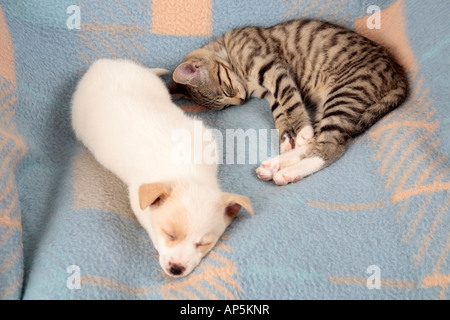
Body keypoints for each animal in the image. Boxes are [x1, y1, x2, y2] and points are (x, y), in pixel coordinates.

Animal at [71, 58, 253, 276]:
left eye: (203, 244)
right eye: (169, 235)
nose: (176, 269)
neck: (186, 171)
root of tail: (99, 64)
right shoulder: (138, 195)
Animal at [169, 19, 408, 185]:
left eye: (227, 91)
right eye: (226, 105)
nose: (240, 100)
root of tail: (399, 74)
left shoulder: (273, 69)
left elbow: (290, 101)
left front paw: (301, 131)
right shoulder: (269, 92)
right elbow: (280, 112)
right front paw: (287, 138)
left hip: (345, 94)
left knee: (330, 147)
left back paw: (287, 171)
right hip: (330, 104)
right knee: (317, 142)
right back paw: (275, 165)